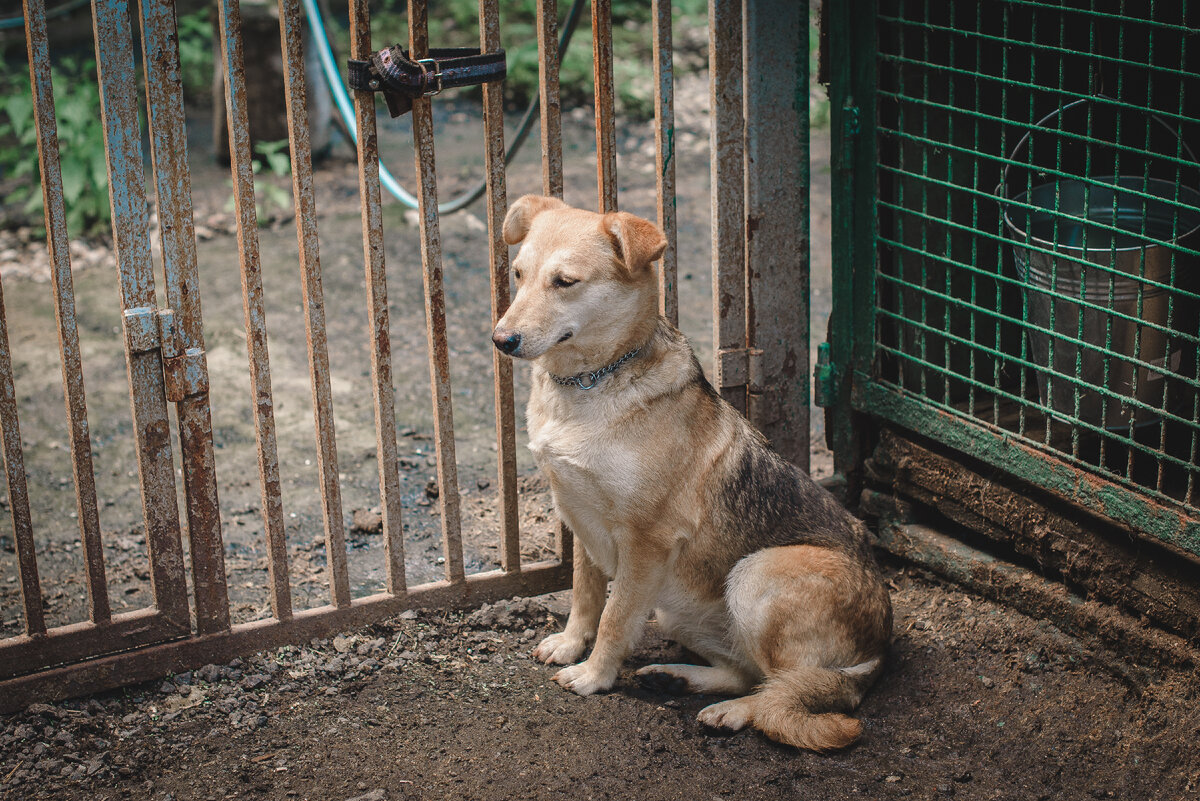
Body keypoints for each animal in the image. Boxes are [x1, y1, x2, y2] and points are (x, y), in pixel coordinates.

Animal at [489, 194, 892, 753]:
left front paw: (594, 676)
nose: (501, 340)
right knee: (750, 674)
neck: (589, 384)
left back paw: (732, 712)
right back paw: (678, 677)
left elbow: (614, 618)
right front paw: (572, 646)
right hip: (675, 608)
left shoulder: (646, 544)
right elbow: (584, 597)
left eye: (564, 282)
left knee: (788, 689)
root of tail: (879, 653)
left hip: (755, 575)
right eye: (519, 275)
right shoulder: (580, 520)